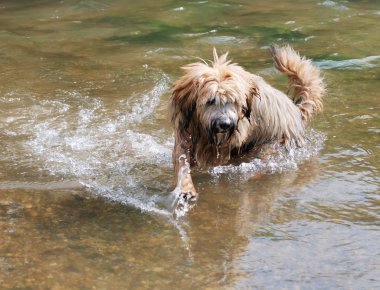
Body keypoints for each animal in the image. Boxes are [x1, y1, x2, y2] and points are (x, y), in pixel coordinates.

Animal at [171, 45, 326, 201]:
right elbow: (182, 162)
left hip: (271, 145)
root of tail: (296, 110)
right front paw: (186, 188)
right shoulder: (184, 136)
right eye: (211, 101)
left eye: (233, 101)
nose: (225, 124)